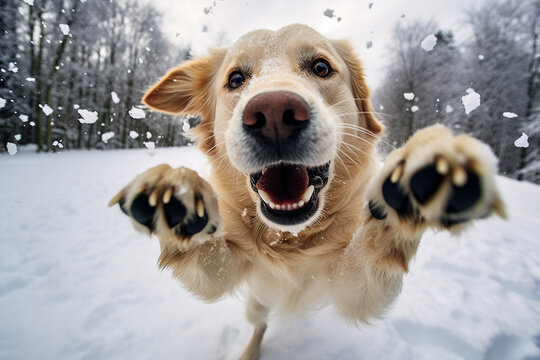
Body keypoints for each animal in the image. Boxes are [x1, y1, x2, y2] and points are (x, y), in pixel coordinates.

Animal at [108, 23, 506, 358]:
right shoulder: (225, 271)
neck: (292, 239)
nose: (273, 113)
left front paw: (426, 168)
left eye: (320, 67)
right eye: (235, 79)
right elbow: (206, 258)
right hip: (257, 301)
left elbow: (373, 247)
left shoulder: (354, 289)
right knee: (260, 324)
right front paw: (173, 192)